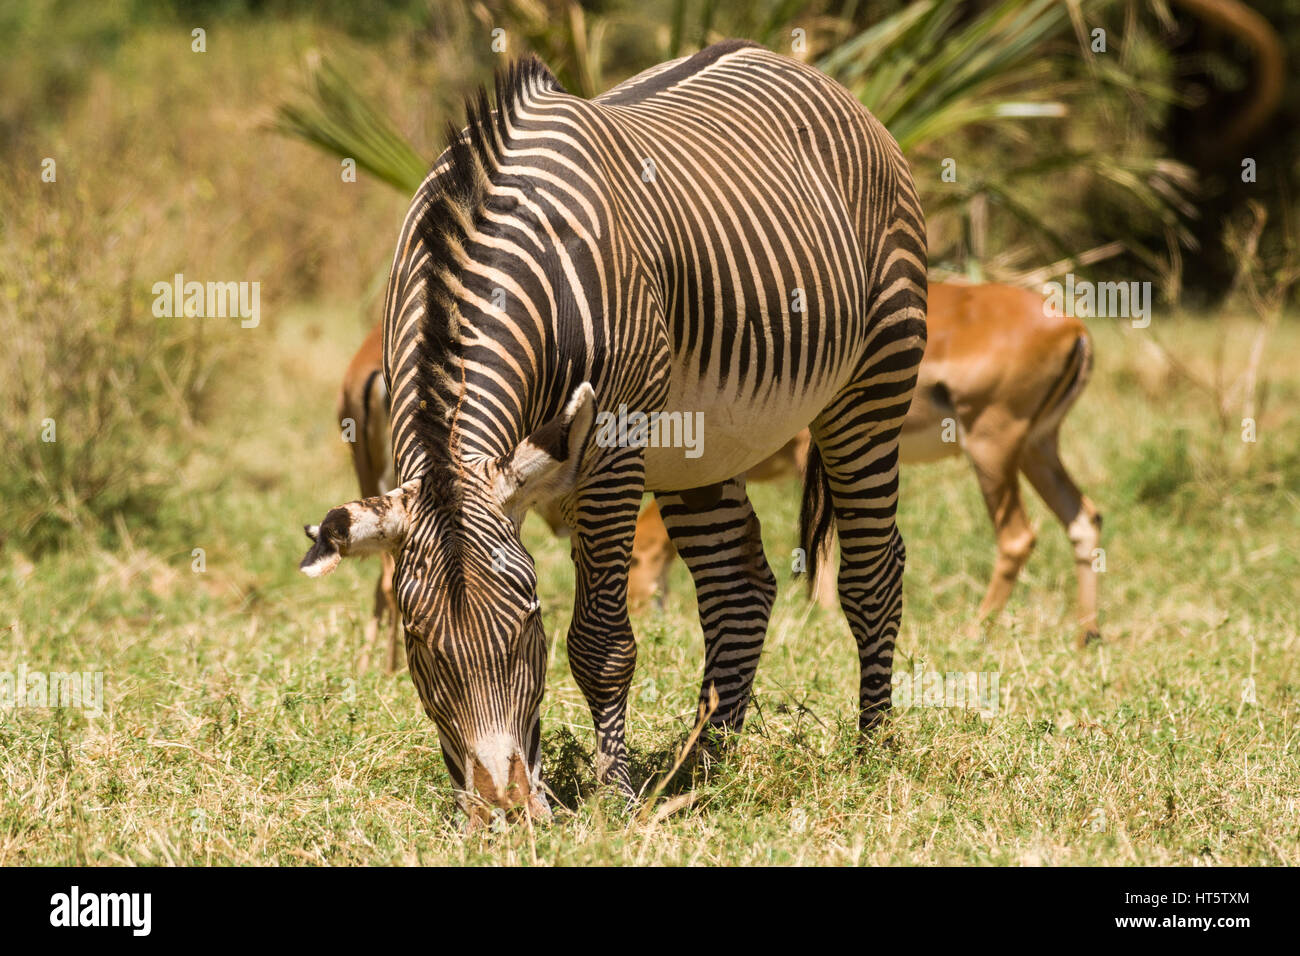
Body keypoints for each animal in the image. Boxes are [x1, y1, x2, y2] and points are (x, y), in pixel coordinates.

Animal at [298, 39, 927, 822]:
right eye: (419, 644)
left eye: (530, 620)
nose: (506, 812)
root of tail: (798, 66)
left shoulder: (615, 447)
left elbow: (601, 643)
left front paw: (616, 801)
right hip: (698, 445)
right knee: (739, 587)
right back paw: (703, 766)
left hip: (874, 381)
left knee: (874, 570)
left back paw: (873, 751)